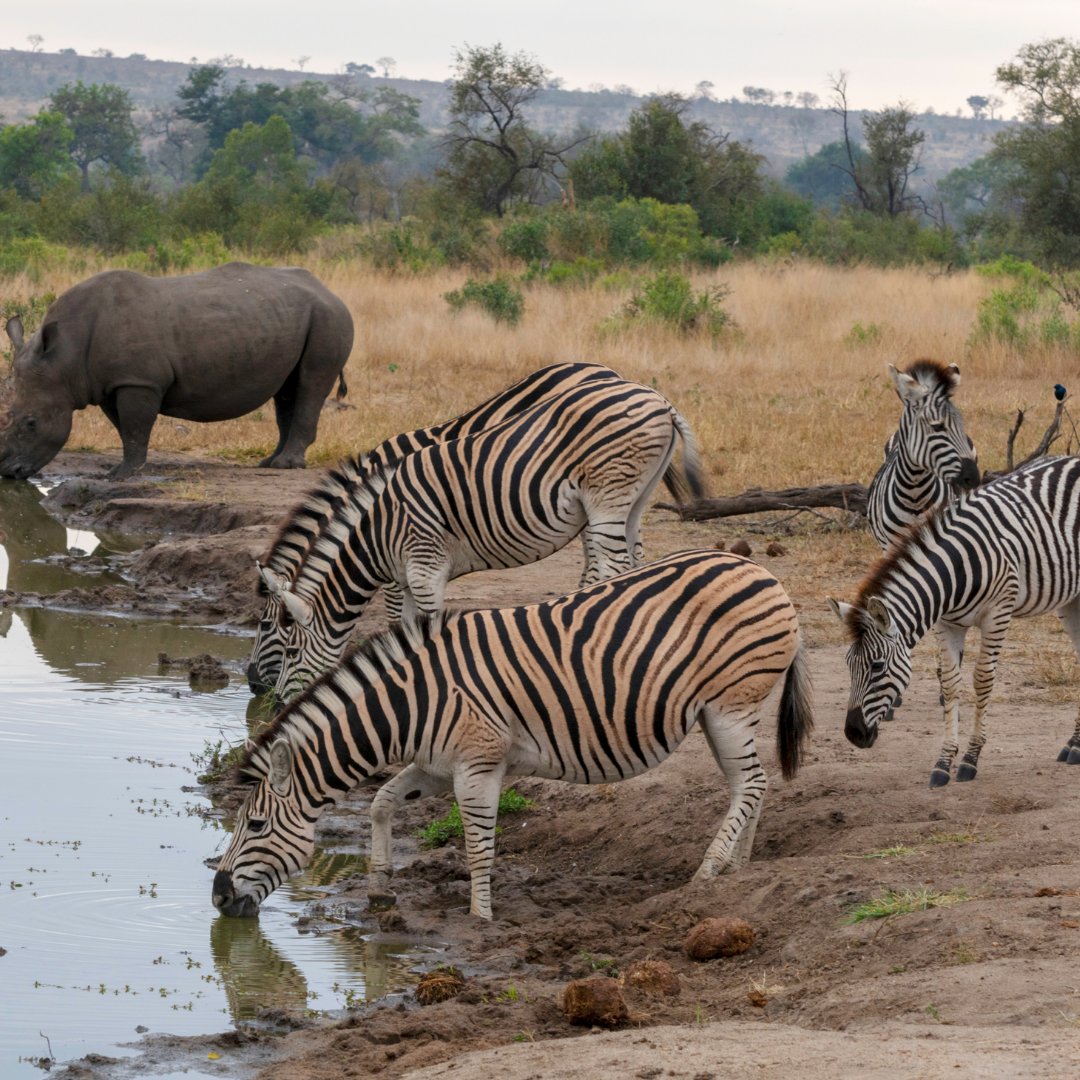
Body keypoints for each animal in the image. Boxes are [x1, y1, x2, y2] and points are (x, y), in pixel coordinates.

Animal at [212, 549, 813, 921]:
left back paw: (707, 872)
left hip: (730, 704)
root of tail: (760, 571)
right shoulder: (436, 764)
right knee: (750, 784)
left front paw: (480, 916)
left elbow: (478, 848)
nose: (217, 899)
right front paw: (380, 887)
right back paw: (738, 867)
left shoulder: (478, 765)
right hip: (721, 712)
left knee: (751, 783)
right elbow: (382, 801)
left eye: (254, 824)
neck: (413, 703)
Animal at [267, 379, 706, 701]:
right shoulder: (408, 579)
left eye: (290, 650)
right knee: (632, 558)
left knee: (612, 565)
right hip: (636, 497)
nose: (272, 700)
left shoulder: (424, 570)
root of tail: (658, 399)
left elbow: (426, 626)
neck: (379, 532)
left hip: (606, 495)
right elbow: (404, 627)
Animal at [829, 453, 1080, 787]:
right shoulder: (946, 624)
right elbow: (950, 685)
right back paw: (1074, 746)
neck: (954, 572)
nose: (853, 734)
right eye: (848, 665)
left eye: (878, 666)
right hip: (1070, 599)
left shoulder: (997, 614)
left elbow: (982, 680)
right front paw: (943, 762)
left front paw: (971, 759)